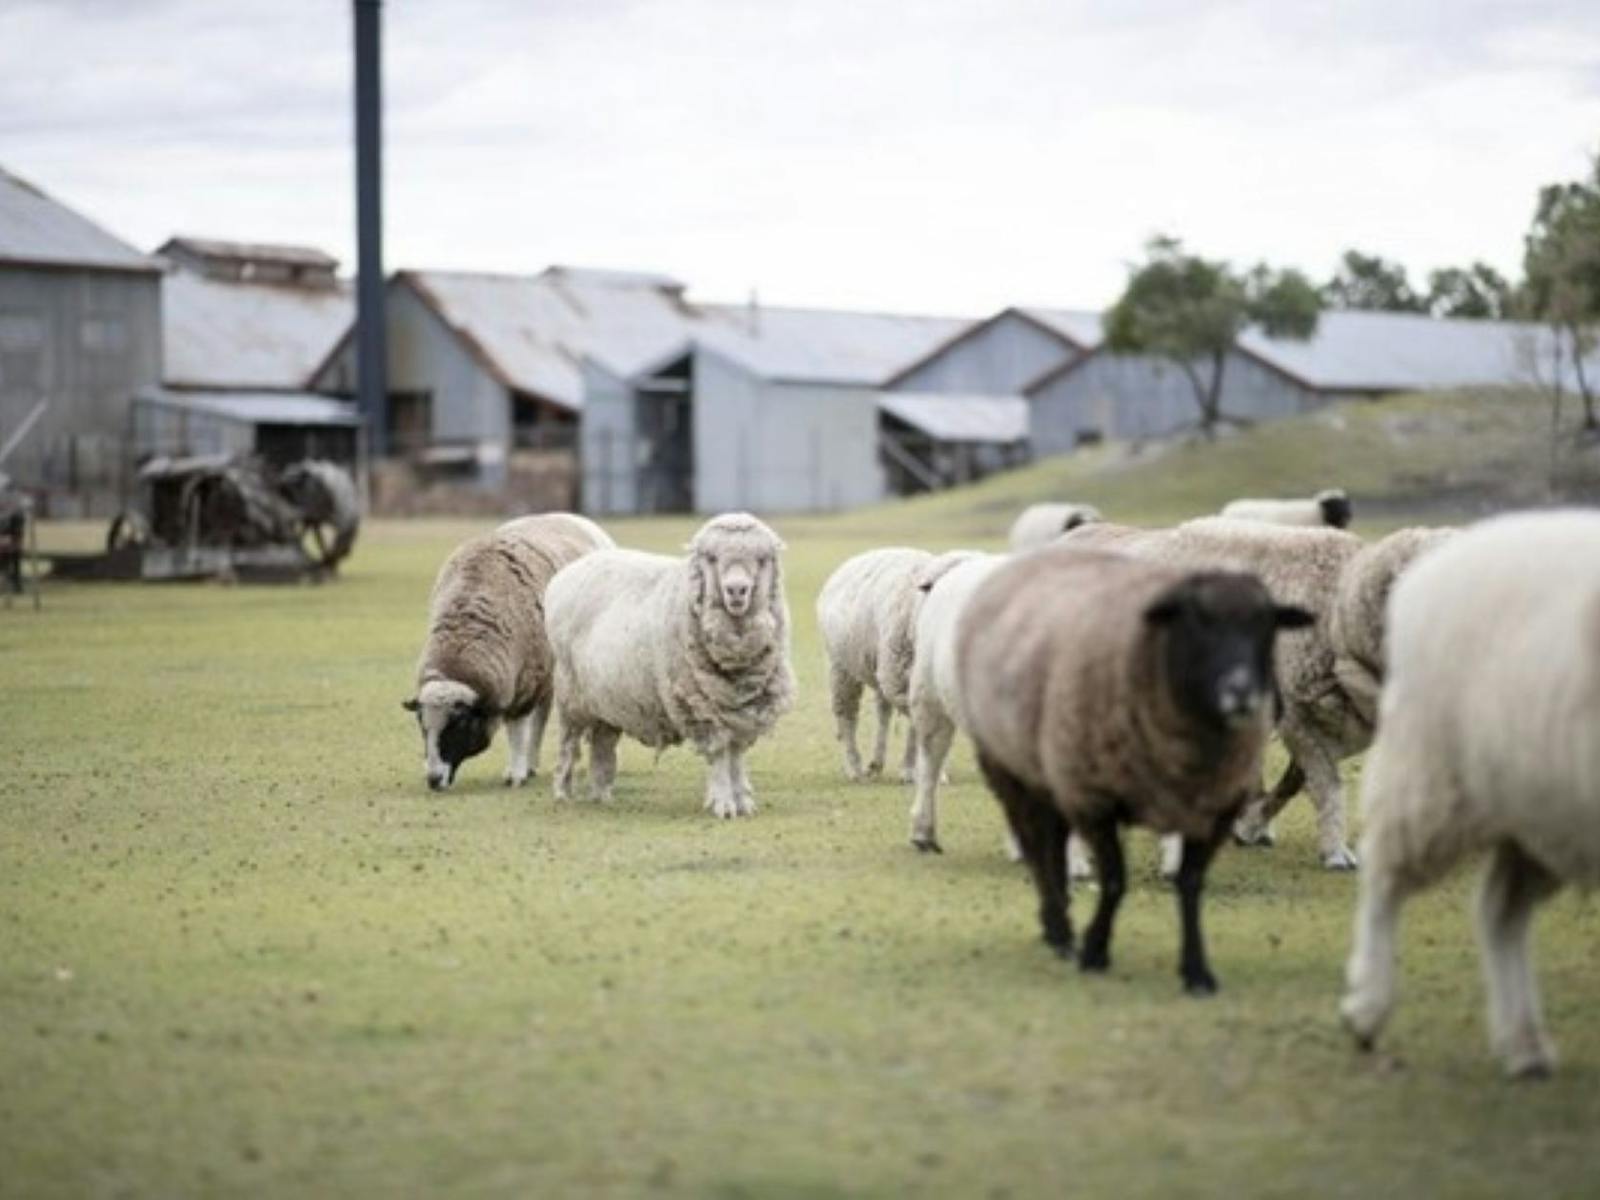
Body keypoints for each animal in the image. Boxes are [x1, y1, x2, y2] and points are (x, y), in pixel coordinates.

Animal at [403, 512, 615, 791]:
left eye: (459, 724)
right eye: (422, 726)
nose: (433, 780)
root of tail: (569, 516)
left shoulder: (524, 684)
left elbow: (516, 731)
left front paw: (515, 774)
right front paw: (521, 769)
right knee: (543, 714)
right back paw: (532, 763)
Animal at [543, 512, 794, 818]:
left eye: (762, 559)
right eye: (711, 558)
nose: (736, 590)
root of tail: (566, 574)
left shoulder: (740, 709)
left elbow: (736, 755)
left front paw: (742, 801)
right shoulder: (703, 709)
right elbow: (720, 755)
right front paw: (724, 803)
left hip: (607, 699)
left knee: (602, 745)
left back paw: (601, 795)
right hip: (570, 694)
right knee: (568, 745)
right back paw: (562, 792)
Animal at [817, 547, 974, 782]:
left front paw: (918, 769)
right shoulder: (899, 679)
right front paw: (920, 770)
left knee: (883, 712)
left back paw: (877, 763)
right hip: (842, 666)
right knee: (846, 714)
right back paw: (855, 767)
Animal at [957, 545, 1312, 993]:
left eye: (1267, 627)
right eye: (1197, 622)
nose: (1242, 692)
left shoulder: (1214, 809)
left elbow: (1190, 885)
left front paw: (1196, 971)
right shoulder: (1096, 798)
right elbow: (1114, 880)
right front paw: (1095, 950)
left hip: (1053, 773)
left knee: (1052, 842)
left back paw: (1061, 919)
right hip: (1012, 768)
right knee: (1036, 845)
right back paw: (1057, 926)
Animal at [1340, 510, 1600, 1077]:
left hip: (1534, 804)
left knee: (1499, 910)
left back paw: (1523, 1043)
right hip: (1433, 775)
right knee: (1384, 877)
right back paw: (1366, 1008)